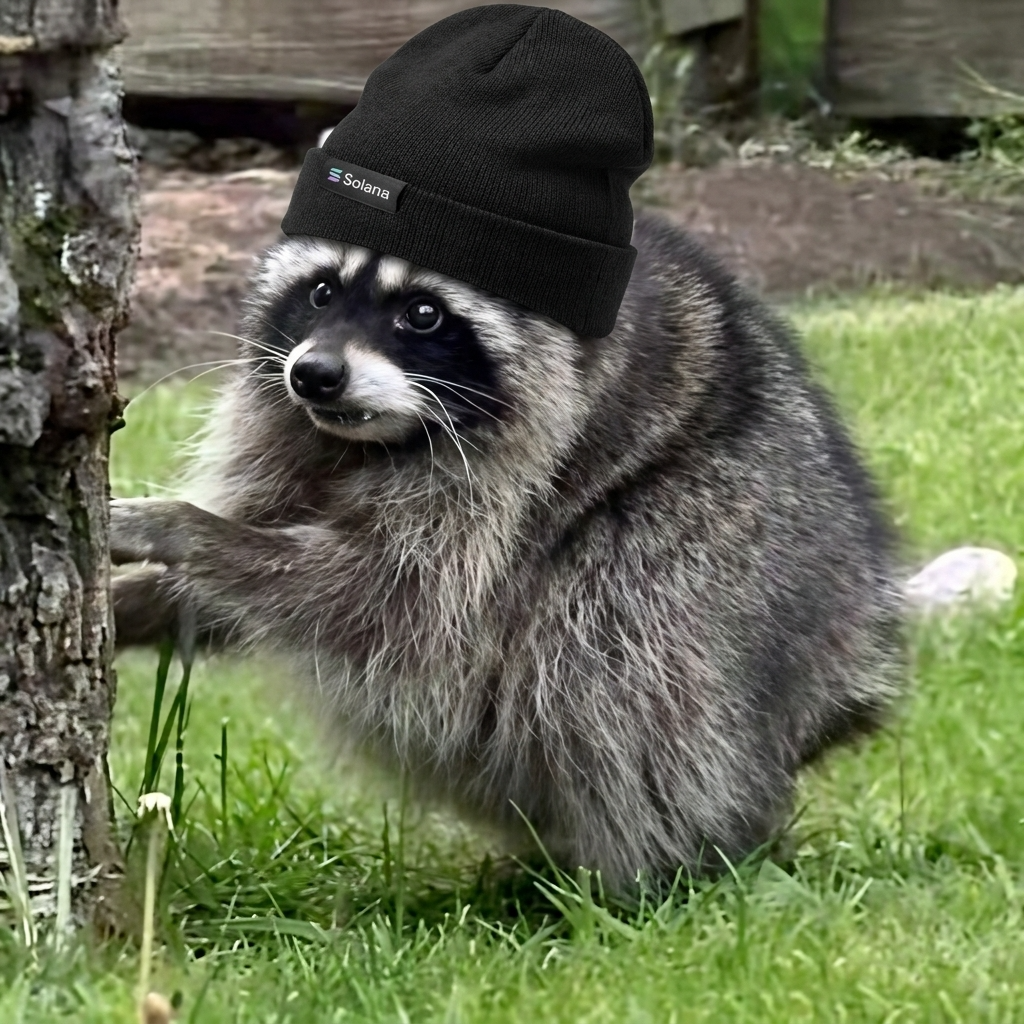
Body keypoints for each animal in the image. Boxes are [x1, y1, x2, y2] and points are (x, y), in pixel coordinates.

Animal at [111, 212, 902, 888]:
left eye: (423, 313)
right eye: (322, 290)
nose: (314, 375)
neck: (381, 441)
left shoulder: (515, 475)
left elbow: (385, 601)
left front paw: (188, 529)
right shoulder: (289, 435)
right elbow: (246, 589)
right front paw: (141, 600)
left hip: (734, 545)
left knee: (615, 642)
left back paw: (649, 871)